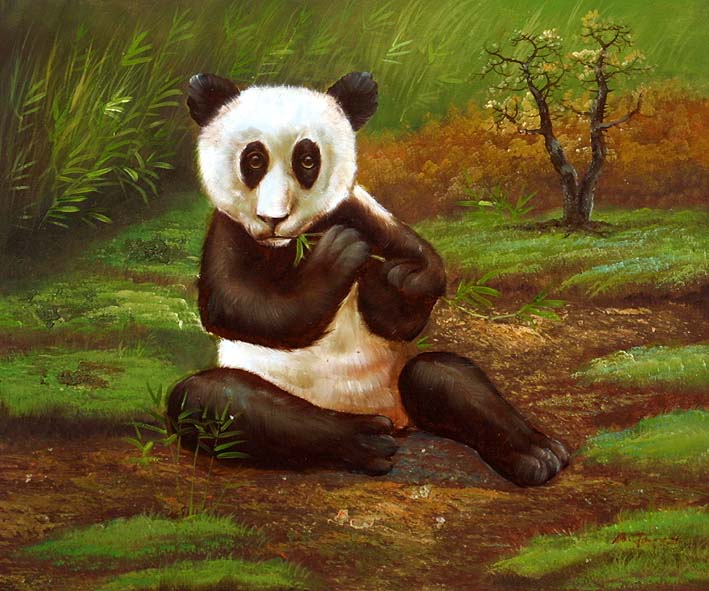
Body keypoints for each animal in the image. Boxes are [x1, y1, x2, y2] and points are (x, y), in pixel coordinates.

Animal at [168, 72, 569, 486]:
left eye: (307, 160)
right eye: (254, 159)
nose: (273, 218)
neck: (290, 244)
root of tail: (394, 421)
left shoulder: (361, 211)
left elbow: (411, 294)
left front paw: (396, 280)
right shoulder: (229, 230)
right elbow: (236, 306)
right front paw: (338, 255)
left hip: (401, 387)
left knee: (443, 375)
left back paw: (537, 454)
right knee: (218, 399)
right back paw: (363, 440)